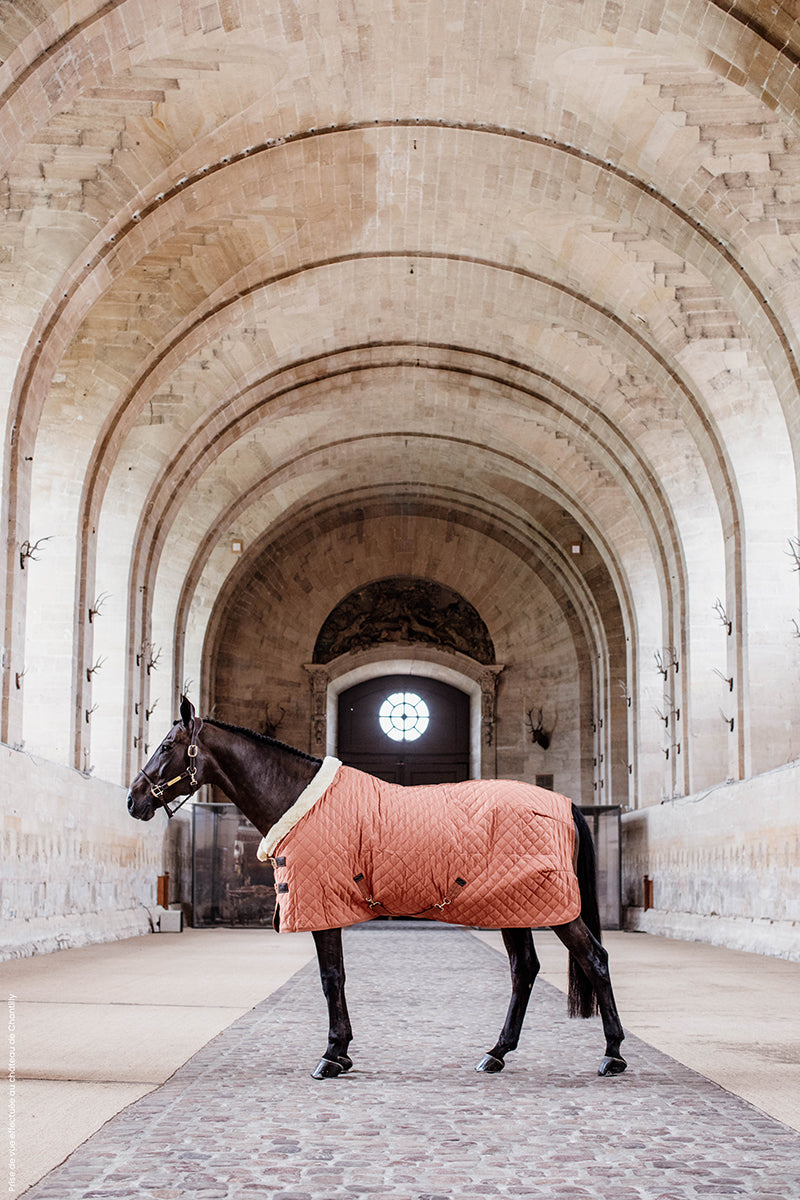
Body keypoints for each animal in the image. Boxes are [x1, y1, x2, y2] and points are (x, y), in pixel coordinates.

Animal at [126, 696, 623, 1080]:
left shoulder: (322, 908)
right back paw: (496, 1054)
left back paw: (613, 1054)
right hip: (515, 907)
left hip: (554, 909)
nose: (133, 800)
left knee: (594, 959)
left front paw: (331, 1056)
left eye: (167, 746)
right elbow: (338, 977)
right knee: (525, 970)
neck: (301, 800)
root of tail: (565, 804)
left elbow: (331, 978)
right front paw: (342, 1052)